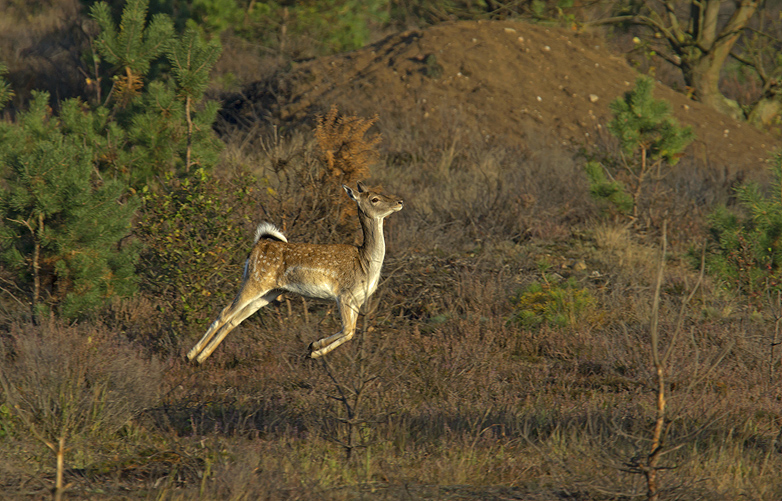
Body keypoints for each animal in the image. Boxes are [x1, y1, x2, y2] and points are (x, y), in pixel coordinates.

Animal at [185, 182, 404, 362]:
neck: (366, 263)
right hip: (255, 280)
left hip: (270, 292)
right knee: (225, 312)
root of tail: (258, 245)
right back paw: (191, 355)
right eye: (374, 199)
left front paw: (313, 349)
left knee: (235, 319)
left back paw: (201, 357)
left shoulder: (357, 299)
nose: (400, 201)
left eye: (379, 192)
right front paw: (314, 348)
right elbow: (348, 329)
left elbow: (351, 332)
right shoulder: (343, 293)